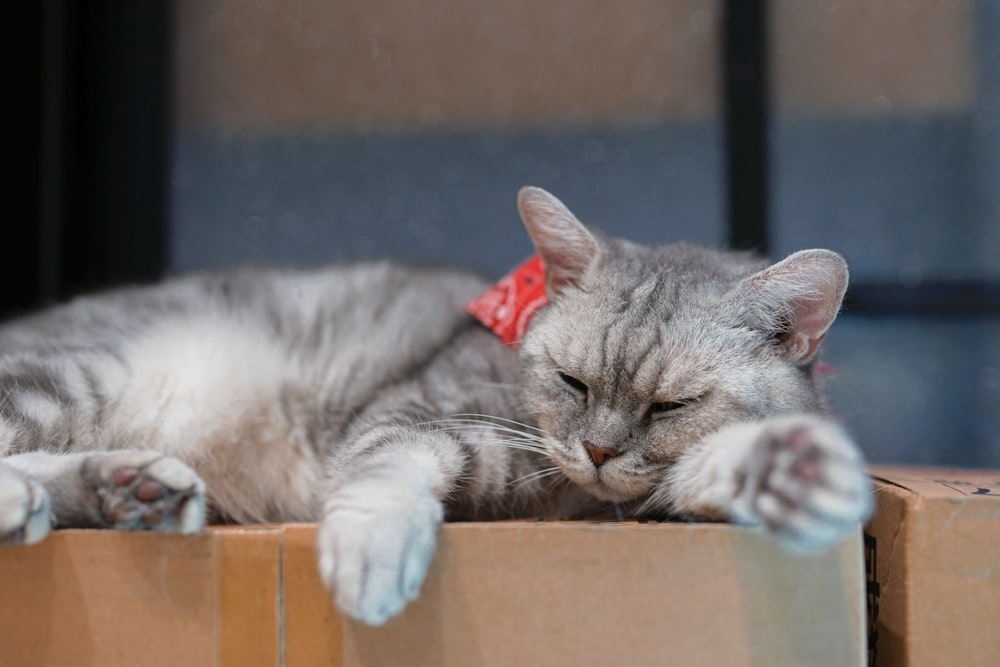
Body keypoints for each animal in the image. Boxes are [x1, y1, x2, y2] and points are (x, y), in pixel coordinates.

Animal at [0, 187, 868, 628]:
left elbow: (707, 467)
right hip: (77, 376)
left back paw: (129, 488)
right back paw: (41, 495)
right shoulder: (411, 416)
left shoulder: (628, 496)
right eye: (574, 382)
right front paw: (373, 556)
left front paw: (794, 471)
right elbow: (385, 473)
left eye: (669, 404)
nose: (595, 451)